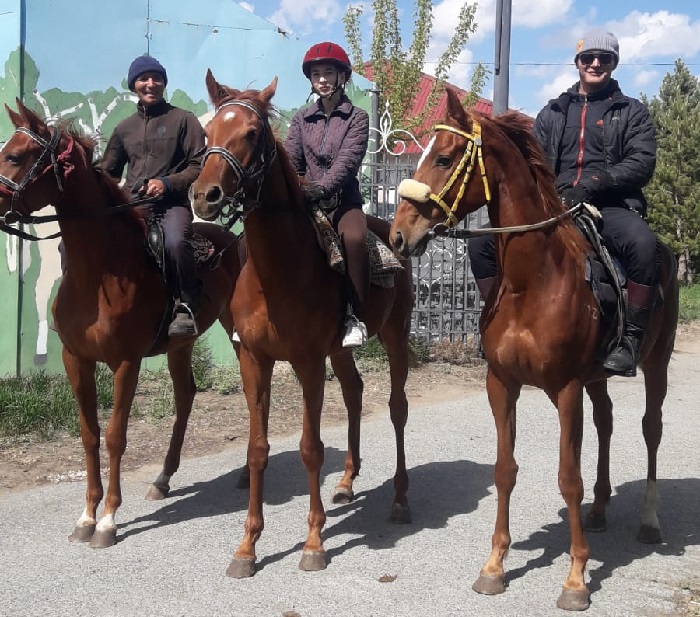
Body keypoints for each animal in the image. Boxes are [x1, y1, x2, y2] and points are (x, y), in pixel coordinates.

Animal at [0, 102, 243, 548]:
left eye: (15, 155)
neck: (99, 273)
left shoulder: (126, 363)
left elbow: (115, 436)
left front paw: (109, 520)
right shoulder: (76, 359)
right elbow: (89, 433)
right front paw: (86, 515)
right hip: (181, 346)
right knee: (185, 395)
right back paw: (162, 479)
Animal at [189, 73, 412, 576]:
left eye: (252, 133)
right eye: (207, 132)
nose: (204, 196)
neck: (279, 271)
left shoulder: (308, 362)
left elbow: (311, 449)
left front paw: (313, 543)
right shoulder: (255, 360)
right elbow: (257, 449)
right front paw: (247, 547)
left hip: (395, 337)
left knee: (397, 408)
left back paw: (400, 500)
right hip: (341, 350)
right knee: (354, 392)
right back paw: (347, 482)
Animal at [388, 88, 680, 612]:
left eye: (444, 157)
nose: (400, 234)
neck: (534, 281)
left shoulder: (565, 389)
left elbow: (568, 477)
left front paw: (576, 578)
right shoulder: (502, 384)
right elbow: (505, 470)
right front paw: (494, 566)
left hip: (656, 363)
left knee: (651, 429)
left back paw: (649, 519)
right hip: (598, 379)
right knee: (606, 422)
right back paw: (600, 508)